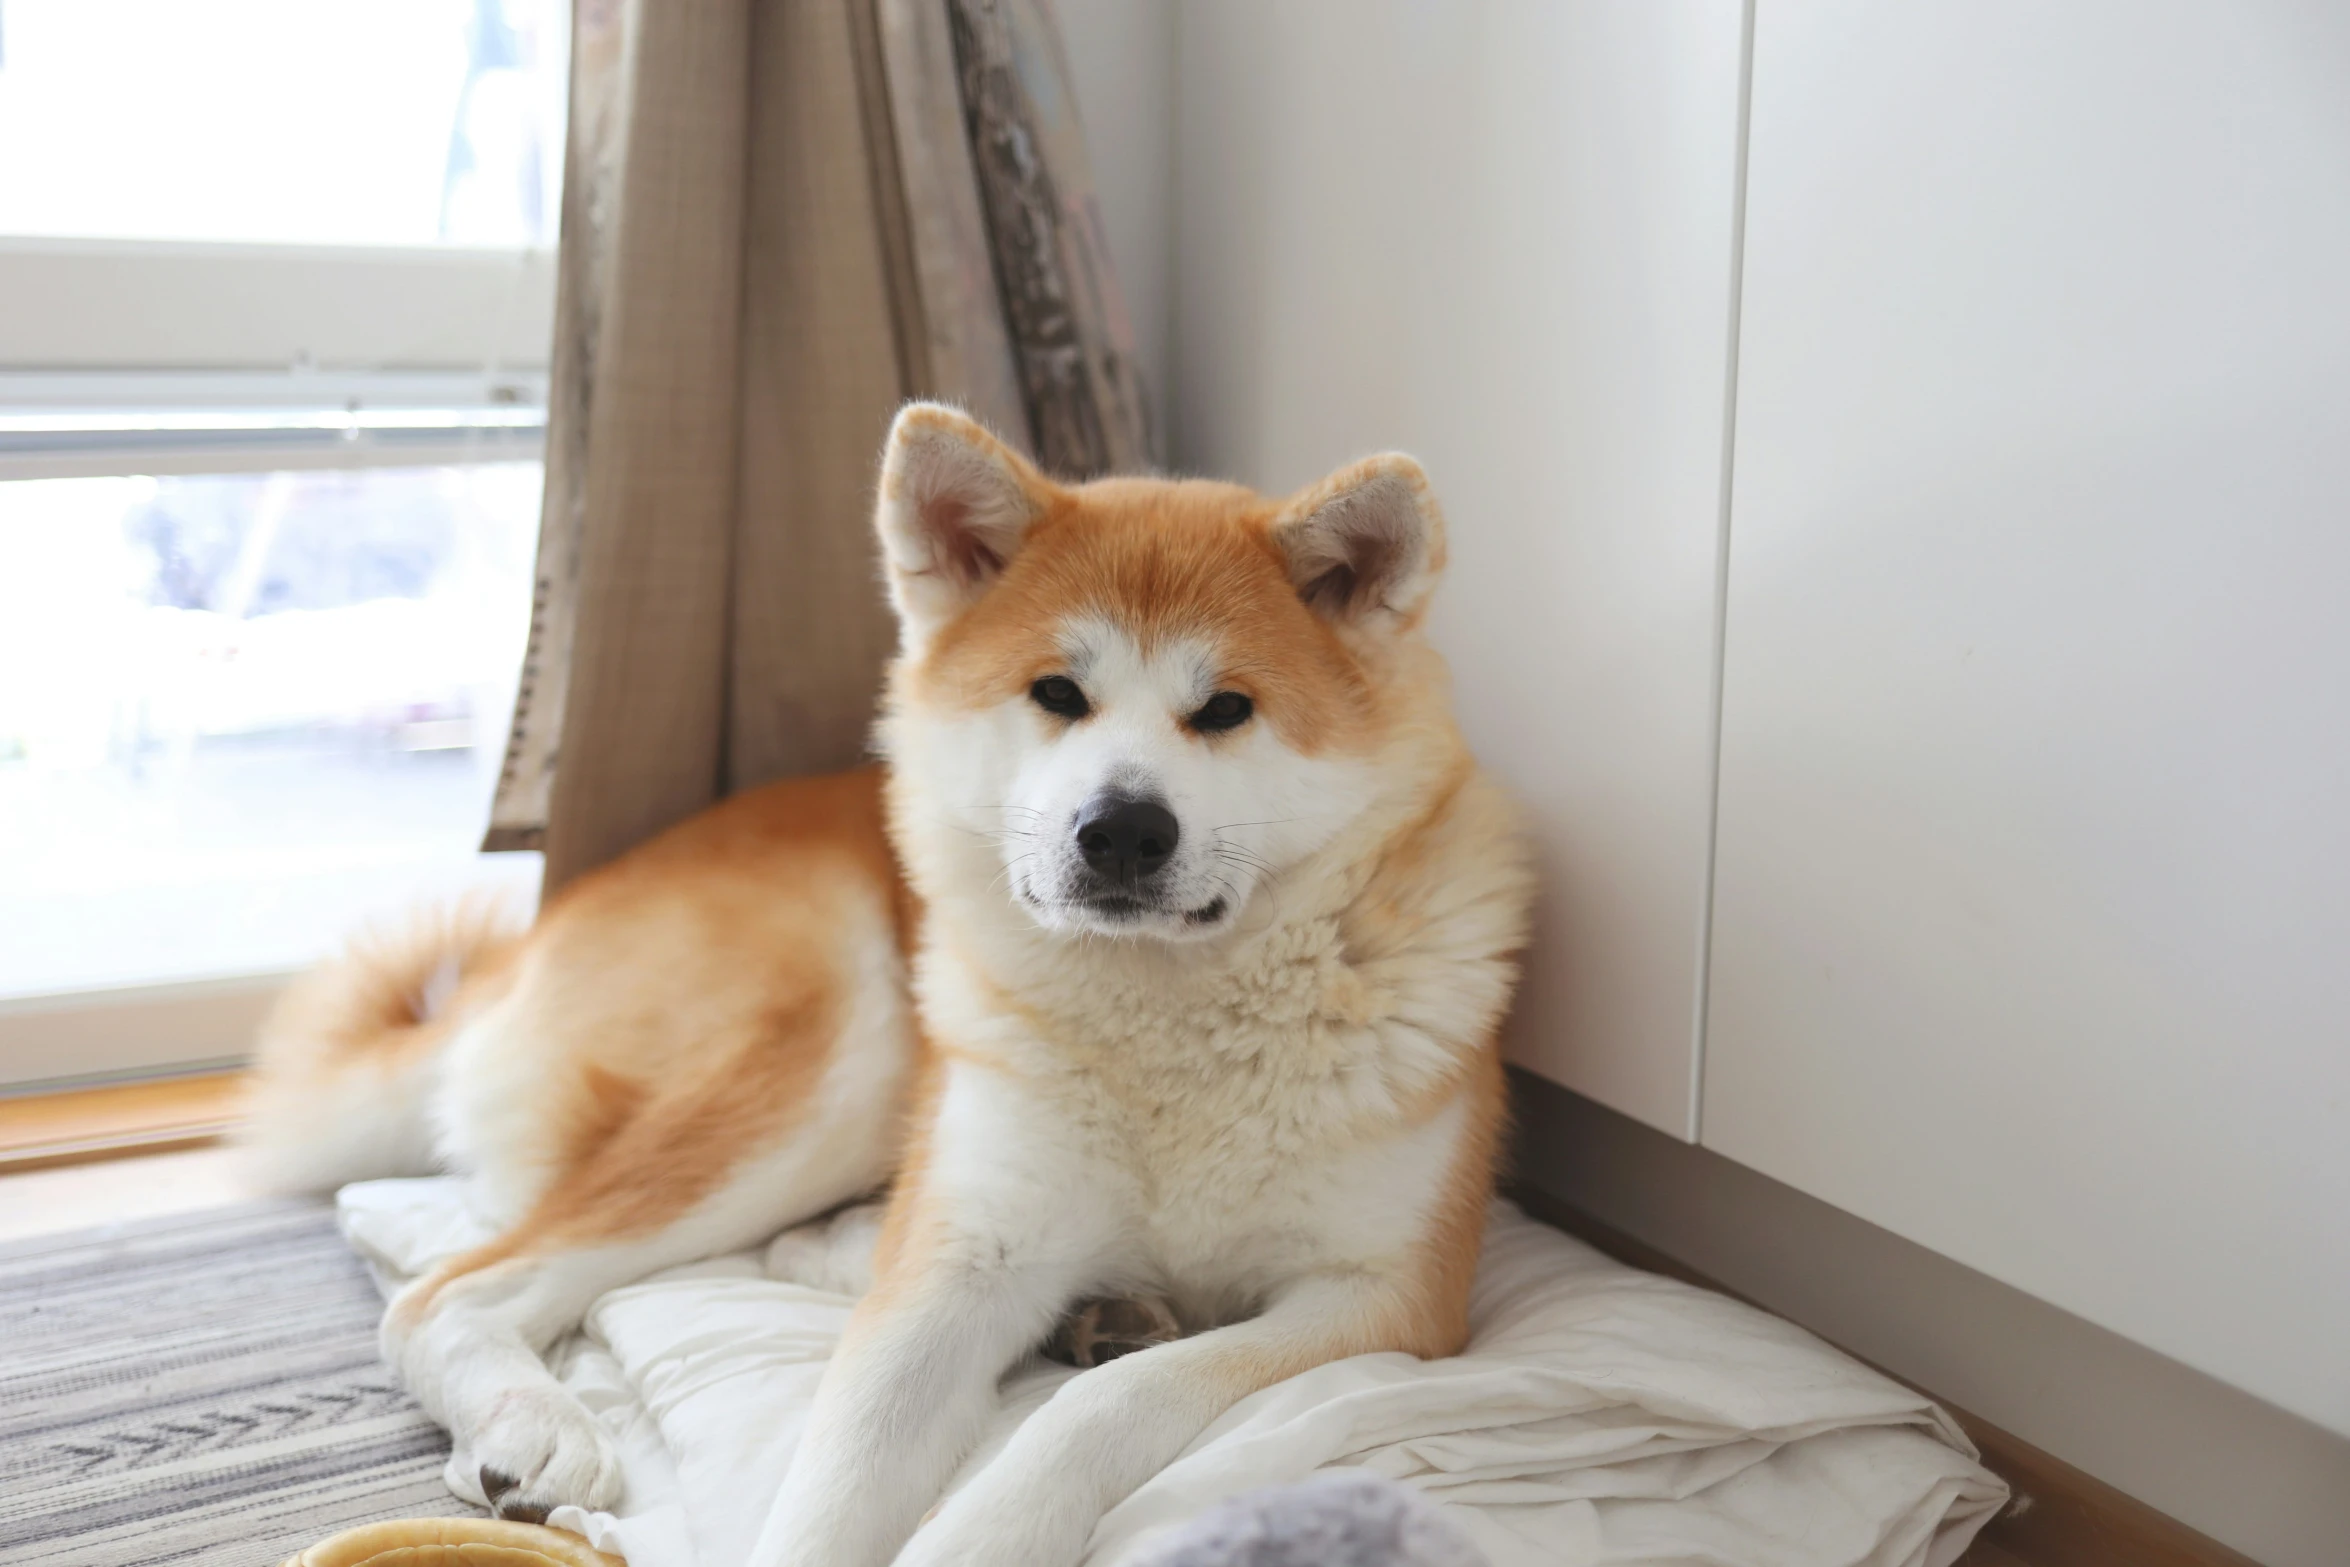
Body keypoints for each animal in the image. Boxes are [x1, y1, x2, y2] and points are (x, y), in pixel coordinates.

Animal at [247, 408, 1532, 1567]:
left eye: (1225, 709)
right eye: (1056, 693)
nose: (1120, 830)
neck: (1165, 1024)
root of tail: (528, 945)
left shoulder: (1383, 1297)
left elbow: (1111, 1404)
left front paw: (991, 1521)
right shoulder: (954, 1270)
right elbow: (842, 1474)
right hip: (838, 1054)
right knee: (450, 1291)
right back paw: (537, 1423)